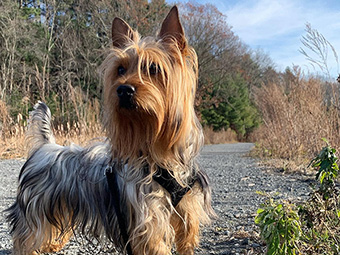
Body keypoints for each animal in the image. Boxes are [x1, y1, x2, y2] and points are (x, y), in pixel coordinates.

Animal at [6, 6, 215, 255]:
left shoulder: (187, 212)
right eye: (120, 69)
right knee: (27, 234)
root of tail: (46, 145)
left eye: (153, 68)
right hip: (35, 207)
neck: (161, 156)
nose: (123, 90)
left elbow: (186, 237)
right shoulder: (148, 219)